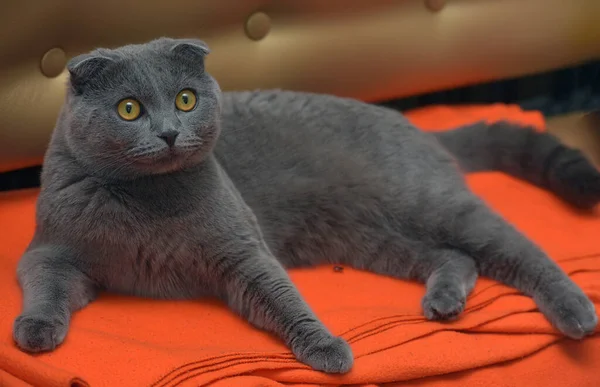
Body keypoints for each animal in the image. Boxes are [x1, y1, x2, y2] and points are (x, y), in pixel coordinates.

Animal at [11, 38, 596, 374]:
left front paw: (327, 348)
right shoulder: (50, 249)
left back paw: (577, 311)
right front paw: (35, 331)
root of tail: (414, 125)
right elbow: (47, 283)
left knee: (517, 247)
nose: (171, 132)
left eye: (185, 99)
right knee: (458, 257)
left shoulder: (241, 250)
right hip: (369, 236)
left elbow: (279, 294)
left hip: (427, 201)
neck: (148, 199)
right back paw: (445, 301)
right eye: (129, 109)